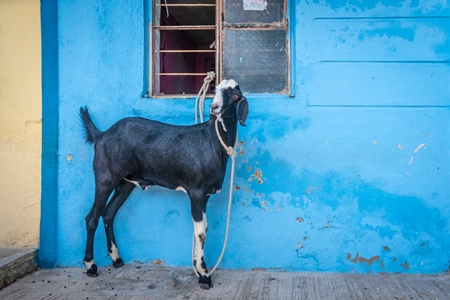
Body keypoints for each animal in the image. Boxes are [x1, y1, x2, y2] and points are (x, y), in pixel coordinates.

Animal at [80, 79, 250, 288]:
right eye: (215, 90)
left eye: (235, 95)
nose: (214, 107)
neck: (214, 141)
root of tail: (102, 134)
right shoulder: (196, 192)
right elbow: (201, 232)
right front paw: (204, 275)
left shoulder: (205, 195)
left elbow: (201, 228)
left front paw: (198, 269)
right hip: (105, 177)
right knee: (92, 217)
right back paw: (90, 266)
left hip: (125, 183)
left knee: (108, 213)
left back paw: (116, 259)